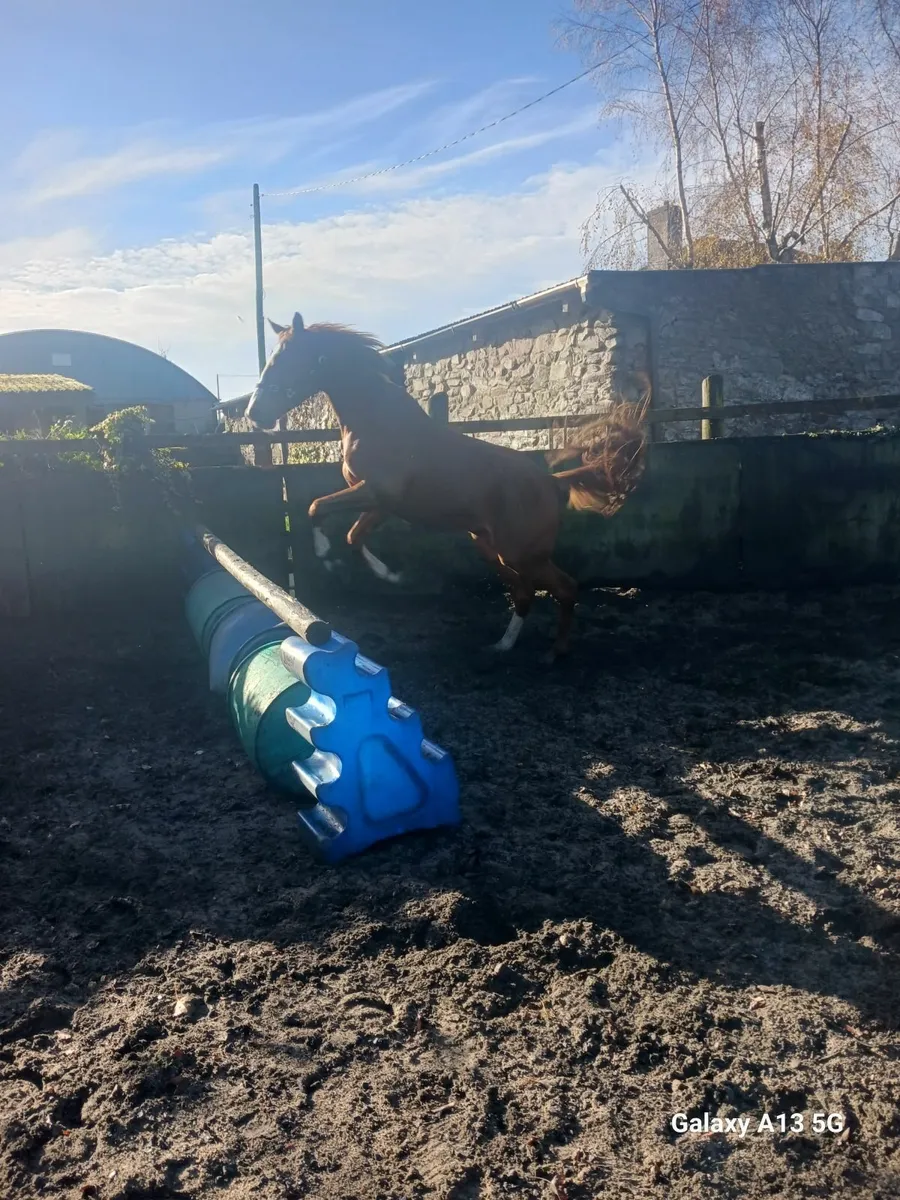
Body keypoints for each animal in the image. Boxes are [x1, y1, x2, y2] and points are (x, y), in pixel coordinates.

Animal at [246, 312, 647, 661]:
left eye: (286, 360)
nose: (253, 412)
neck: (378, 422)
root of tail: (551, 481)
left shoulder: (377, 494)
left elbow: (317, 508)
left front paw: (328, 556)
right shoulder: (379, 503)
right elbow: (352, 536)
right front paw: (389, 574)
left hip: (522, 553)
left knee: (564, 587)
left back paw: (554, 652)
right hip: (490, 548)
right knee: (524, 592)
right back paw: (502, 646)